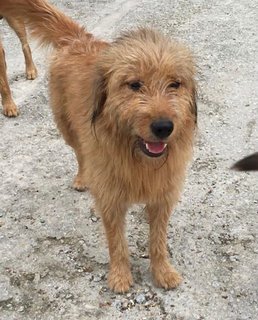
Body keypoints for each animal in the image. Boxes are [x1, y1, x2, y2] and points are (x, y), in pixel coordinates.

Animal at [0, 0, 198, 292]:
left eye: (175, 84)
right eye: (134, 84)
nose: (164, 127)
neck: (136, 155)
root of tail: (78, 38)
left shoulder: (163, 196)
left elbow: (158, 239)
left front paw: (162, 271)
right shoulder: (111, 198)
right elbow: (117, 241)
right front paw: (120, 275)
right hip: (67, 127)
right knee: (80, 153)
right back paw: (83, 178)